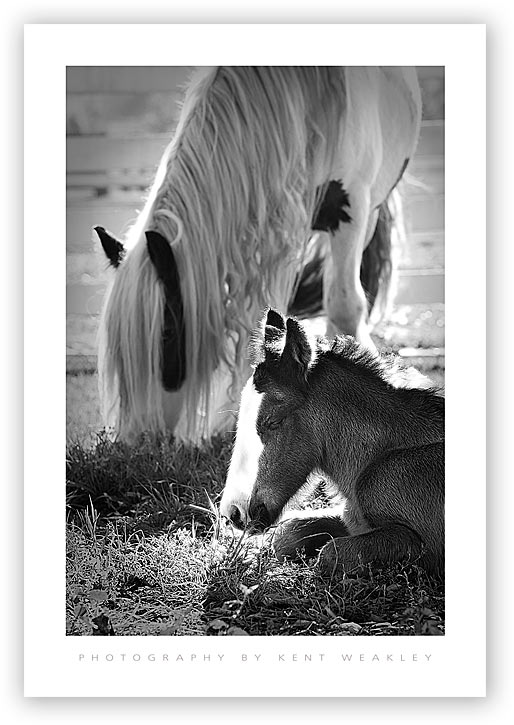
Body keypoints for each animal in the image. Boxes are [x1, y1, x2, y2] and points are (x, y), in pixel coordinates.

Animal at [218, 308, 442, 580]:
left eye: (273, 421)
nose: (233, 512)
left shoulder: (423, 544)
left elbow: (329, 555)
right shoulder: (351, 518)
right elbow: (286, 534)